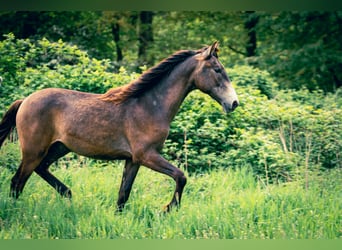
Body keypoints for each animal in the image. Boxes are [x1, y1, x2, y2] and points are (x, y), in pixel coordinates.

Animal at [0, 42, 239, 212]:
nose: (234, 103)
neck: (149, 105)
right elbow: (181, 176)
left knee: (40, 170)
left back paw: (67, 193)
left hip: (59, 148)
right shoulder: (147, 155)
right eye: (217, 70)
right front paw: (168, 209)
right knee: (17, 182)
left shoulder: (132, 160)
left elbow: (123, 195)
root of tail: (25, 100)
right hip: (33, 151)